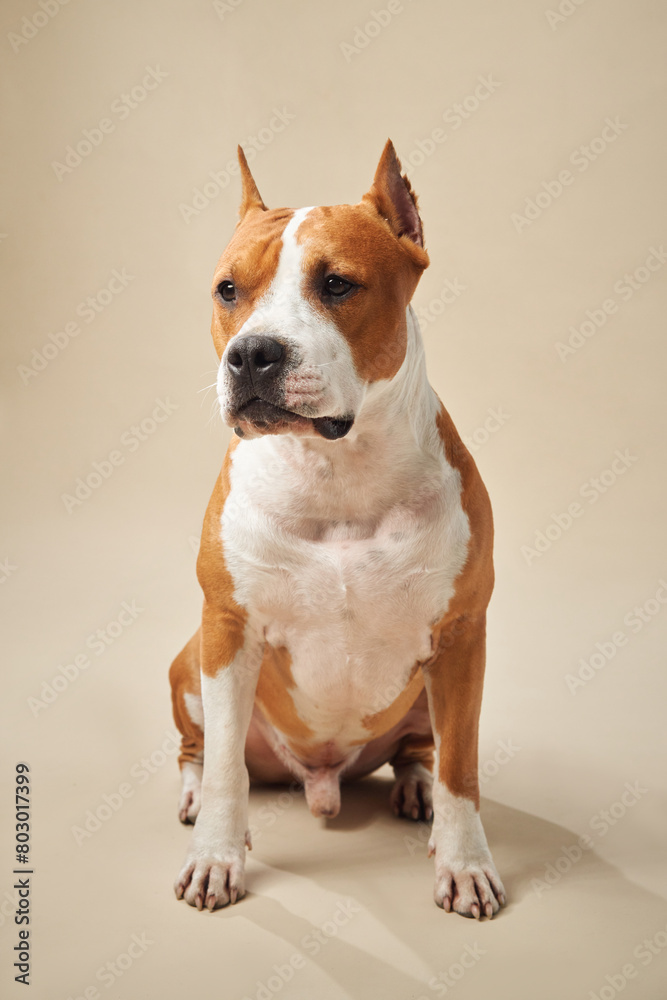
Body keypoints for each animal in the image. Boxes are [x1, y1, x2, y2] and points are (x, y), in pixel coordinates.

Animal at [171, 141, 506, 920]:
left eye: (337, 284)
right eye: (228, 290)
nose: (251, 353)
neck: (336, 473)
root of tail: (318, 777)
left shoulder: (462, 637)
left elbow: (462, 766)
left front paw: (465, 863)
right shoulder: (227, 628)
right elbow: (227, 765)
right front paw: (216, 855)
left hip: (429, 691)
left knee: (423, 750)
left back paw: (415, 789)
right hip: (188, 661)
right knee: (200, 750)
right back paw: (196, 796)